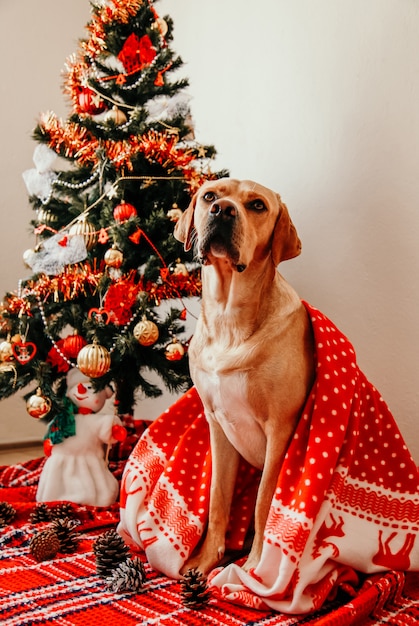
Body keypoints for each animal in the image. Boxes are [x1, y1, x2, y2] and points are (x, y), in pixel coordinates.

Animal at [174, 178, 316, 572]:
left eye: (257, 205)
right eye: (209, 195)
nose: (222, 210)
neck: (228, 317)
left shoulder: (280, 430)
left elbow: (265, 502)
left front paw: (254, 567)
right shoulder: (218, 426)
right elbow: (218, 499)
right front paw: (205, 560)